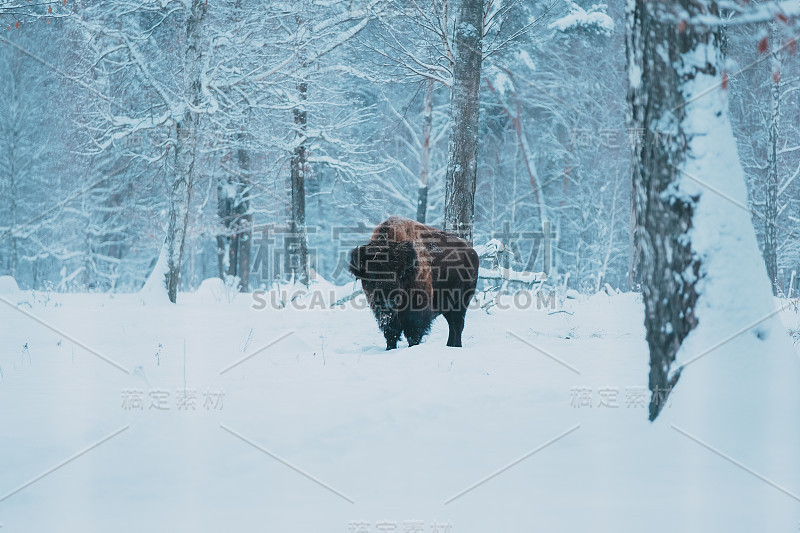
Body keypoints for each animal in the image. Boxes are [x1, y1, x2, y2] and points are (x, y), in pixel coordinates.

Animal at [346, 216, 478, 350]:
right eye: (372, 274)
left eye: (399, 274)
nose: (387, 302)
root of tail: (472, 252)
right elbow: (391, 334)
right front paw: (390, 349)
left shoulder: (417, 314)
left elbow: (413, 334)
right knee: (452, 324)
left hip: (462, 301)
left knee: (457, 324)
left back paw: (456, 346)